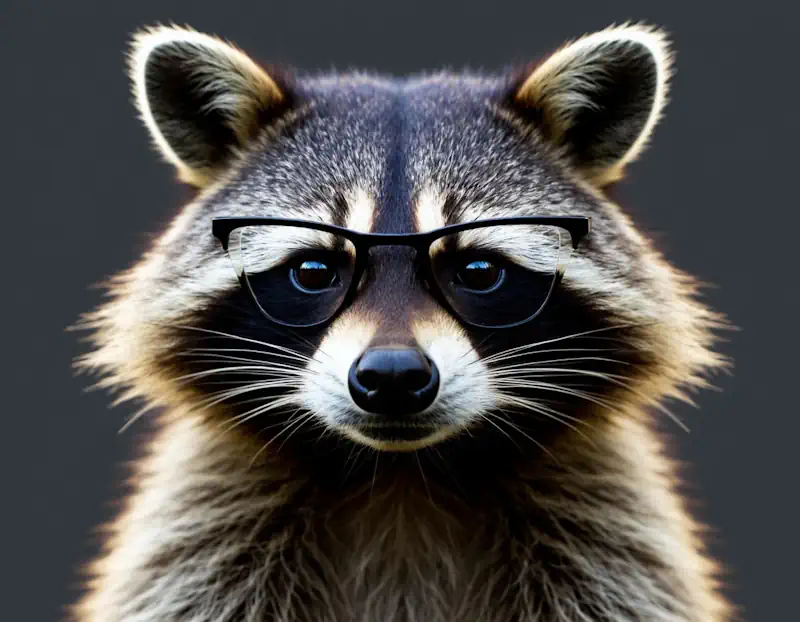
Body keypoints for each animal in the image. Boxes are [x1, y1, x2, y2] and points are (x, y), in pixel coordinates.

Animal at [73, 22, 733, 622]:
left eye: (478, 270)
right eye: (314, 270)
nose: (392, 376)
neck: (402, 478)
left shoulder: (608, 539)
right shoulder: (202, 536)